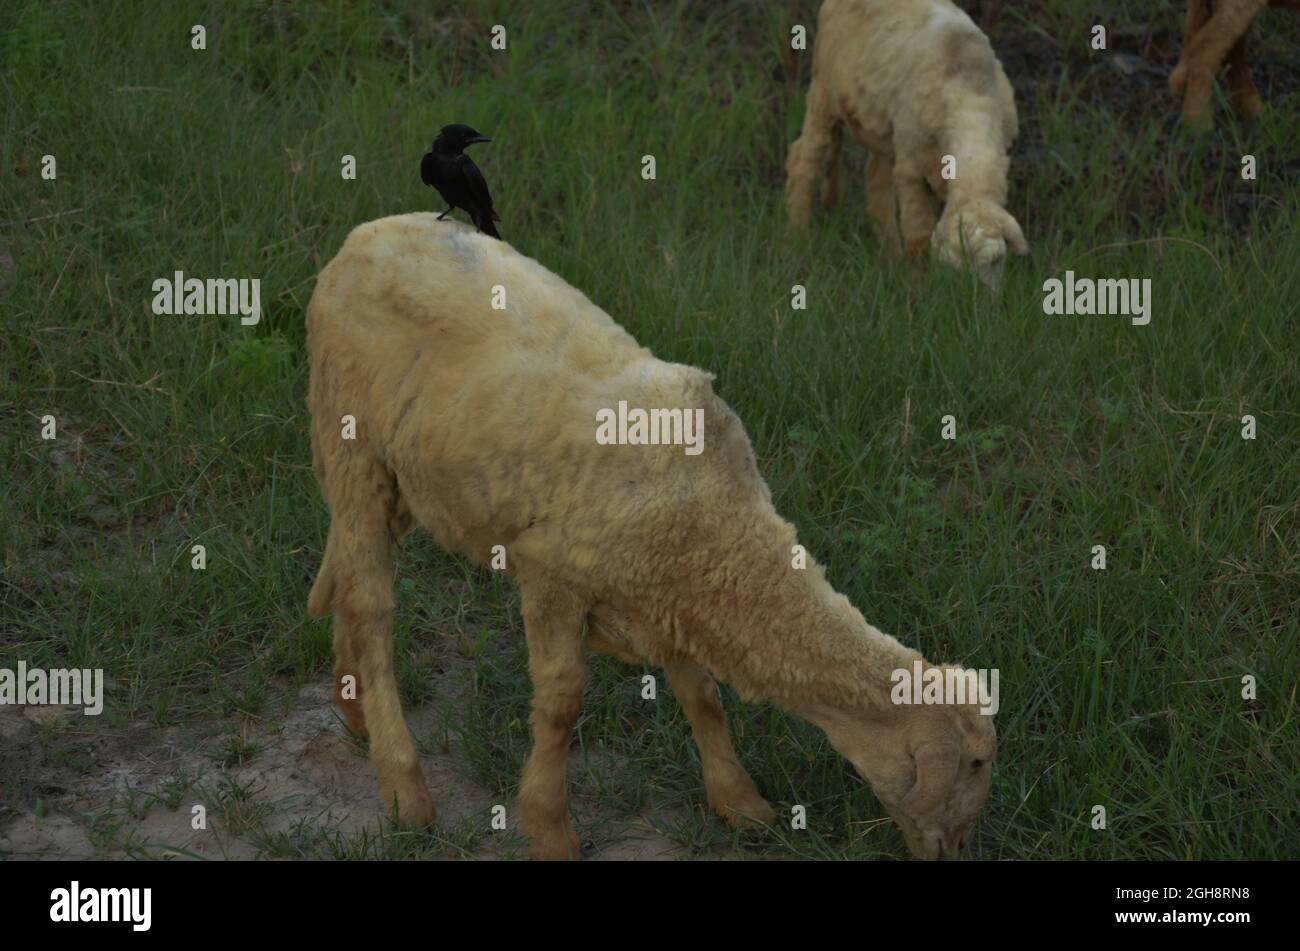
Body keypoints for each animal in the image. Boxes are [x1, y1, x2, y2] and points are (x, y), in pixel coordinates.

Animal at [304, 215, 993, 862]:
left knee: (347, 566)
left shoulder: (670, 597)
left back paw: (353, 704)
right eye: (977, 764)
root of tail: (367, 234)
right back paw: (404, 787)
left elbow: (703, 697)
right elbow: (561, 707)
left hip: (402, 476)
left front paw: (740, 803)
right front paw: (549, 829)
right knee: (371, 607)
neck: (726, 540)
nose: (954, 851)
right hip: (351, 440)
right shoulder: (554, 577)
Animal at [780, 0, 1024, 289]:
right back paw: (797, 242)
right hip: (823, 94)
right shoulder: (911, 168)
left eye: (996, 261)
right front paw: (918, 287)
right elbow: (918, 235)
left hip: (881, 127)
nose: (971, 298)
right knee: (803, 162)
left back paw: (890, 259)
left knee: (875, 180)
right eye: (954, 268)